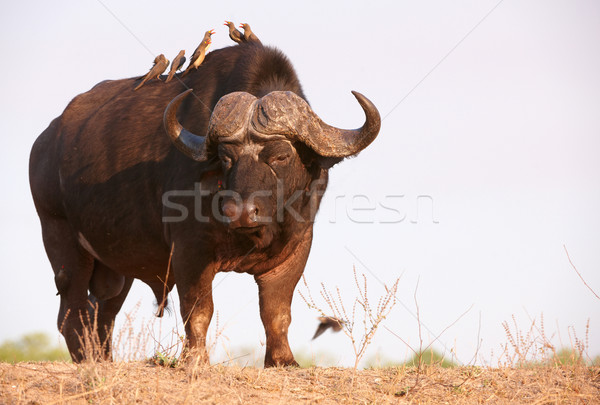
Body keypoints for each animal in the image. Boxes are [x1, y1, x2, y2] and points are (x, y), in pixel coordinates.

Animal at [29, 41, 380, 366]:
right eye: (226, 157)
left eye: (281, 155)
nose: (240, 212)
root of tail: (44, 144)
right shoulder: (189, 250)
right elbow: (198, 309)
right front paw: (195, 358)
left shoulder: (295, 250)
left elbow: (276, 312)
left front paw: (283, 360)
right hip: (61, 241)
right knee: (72, 313)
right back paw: (86, 361)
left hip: (115, 267)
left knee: (101, 314)